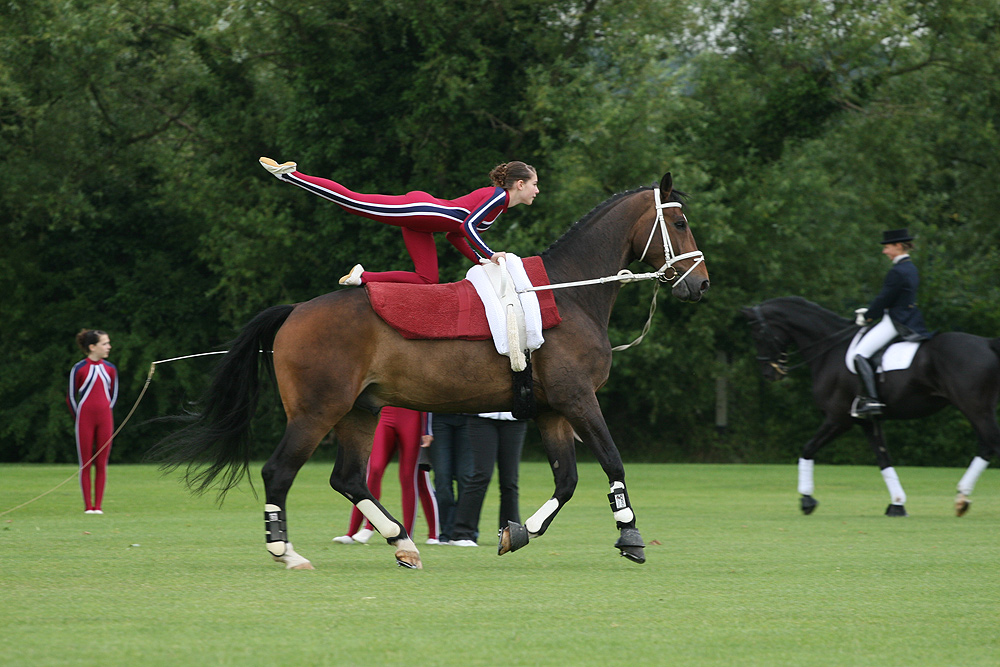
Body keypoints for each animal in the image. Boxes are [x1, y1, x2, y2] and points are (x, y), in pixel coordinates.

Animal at [152, 175, 708, 572]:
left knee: (347, 477)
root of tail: (294, 312)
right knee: (278, 472)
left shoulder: (553, 410)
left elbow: (567, 481)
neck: (569, 293)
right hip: (316, 412)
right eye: (680, 223)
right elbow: (612, 461)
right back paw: (286, 552)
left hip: (358, 412)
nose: (700, 285)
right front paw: (630, 536)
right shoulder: (578, 400)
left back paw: (403, 542)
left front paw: (517, 533)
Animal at [744, 296, 1000, 516]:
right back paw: (961, 498)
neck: (830, 350)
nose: (770, 374)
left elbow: (808, 449)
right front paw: (897, 504)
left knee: (989, 443)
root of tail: (987, 343)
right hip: (980, 408)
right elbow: (883, 458)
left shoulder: (838, 419)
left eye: (758, 333)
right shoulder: (867, 421)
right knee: (986, 445)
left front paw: (807, 500)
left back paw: (962, 498)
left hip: (975, 407)